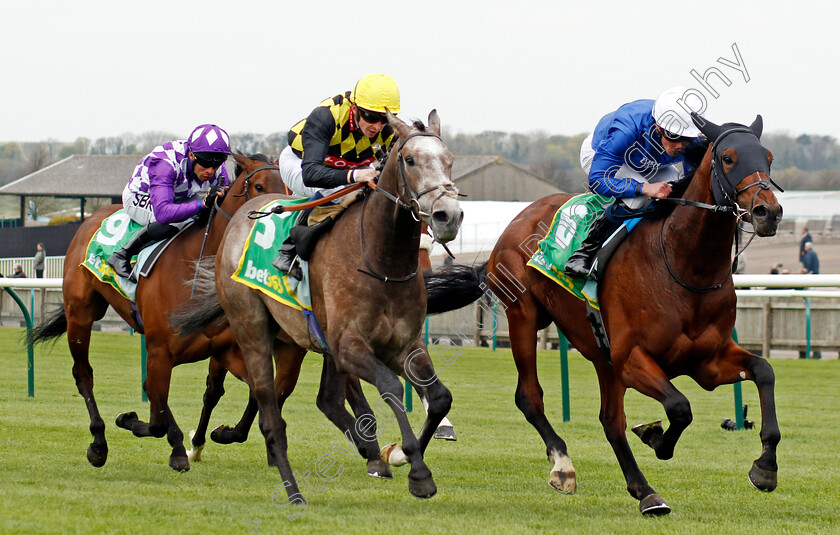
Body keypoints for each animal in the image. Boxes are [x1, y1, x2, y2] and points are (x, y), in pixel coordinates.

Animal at [424, 114, 784, 516]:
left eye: (768, 158)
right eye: (728, 158)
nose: (768, 211)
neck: (685, 267)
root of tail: (517, 220)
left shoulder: (707, 362)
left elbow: (763, 371)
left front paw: (765, 467)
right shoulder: (630, 359)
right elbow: (679, 407)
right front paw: (656, 437)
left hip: (601, 355)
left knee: (610, 420)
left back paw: (646, 493)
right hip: (524, 317)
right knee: (529, 397)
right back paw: (564, 466)